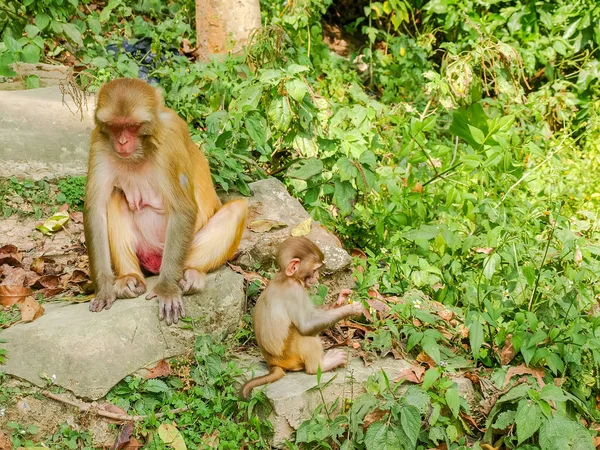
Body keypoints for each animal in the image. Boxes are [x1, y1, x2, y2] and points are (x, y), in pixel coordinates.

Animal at [240, 236, 364, 398]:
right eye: (315, 269)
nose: (317, 276)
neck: (287, 277)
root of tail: (273, 363)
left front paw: (340, 300)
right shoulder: (295, 291)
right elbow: (306, 326)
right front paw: (349, 309)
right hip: (290, 357)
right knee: (303, 334)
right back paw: (320, 365)